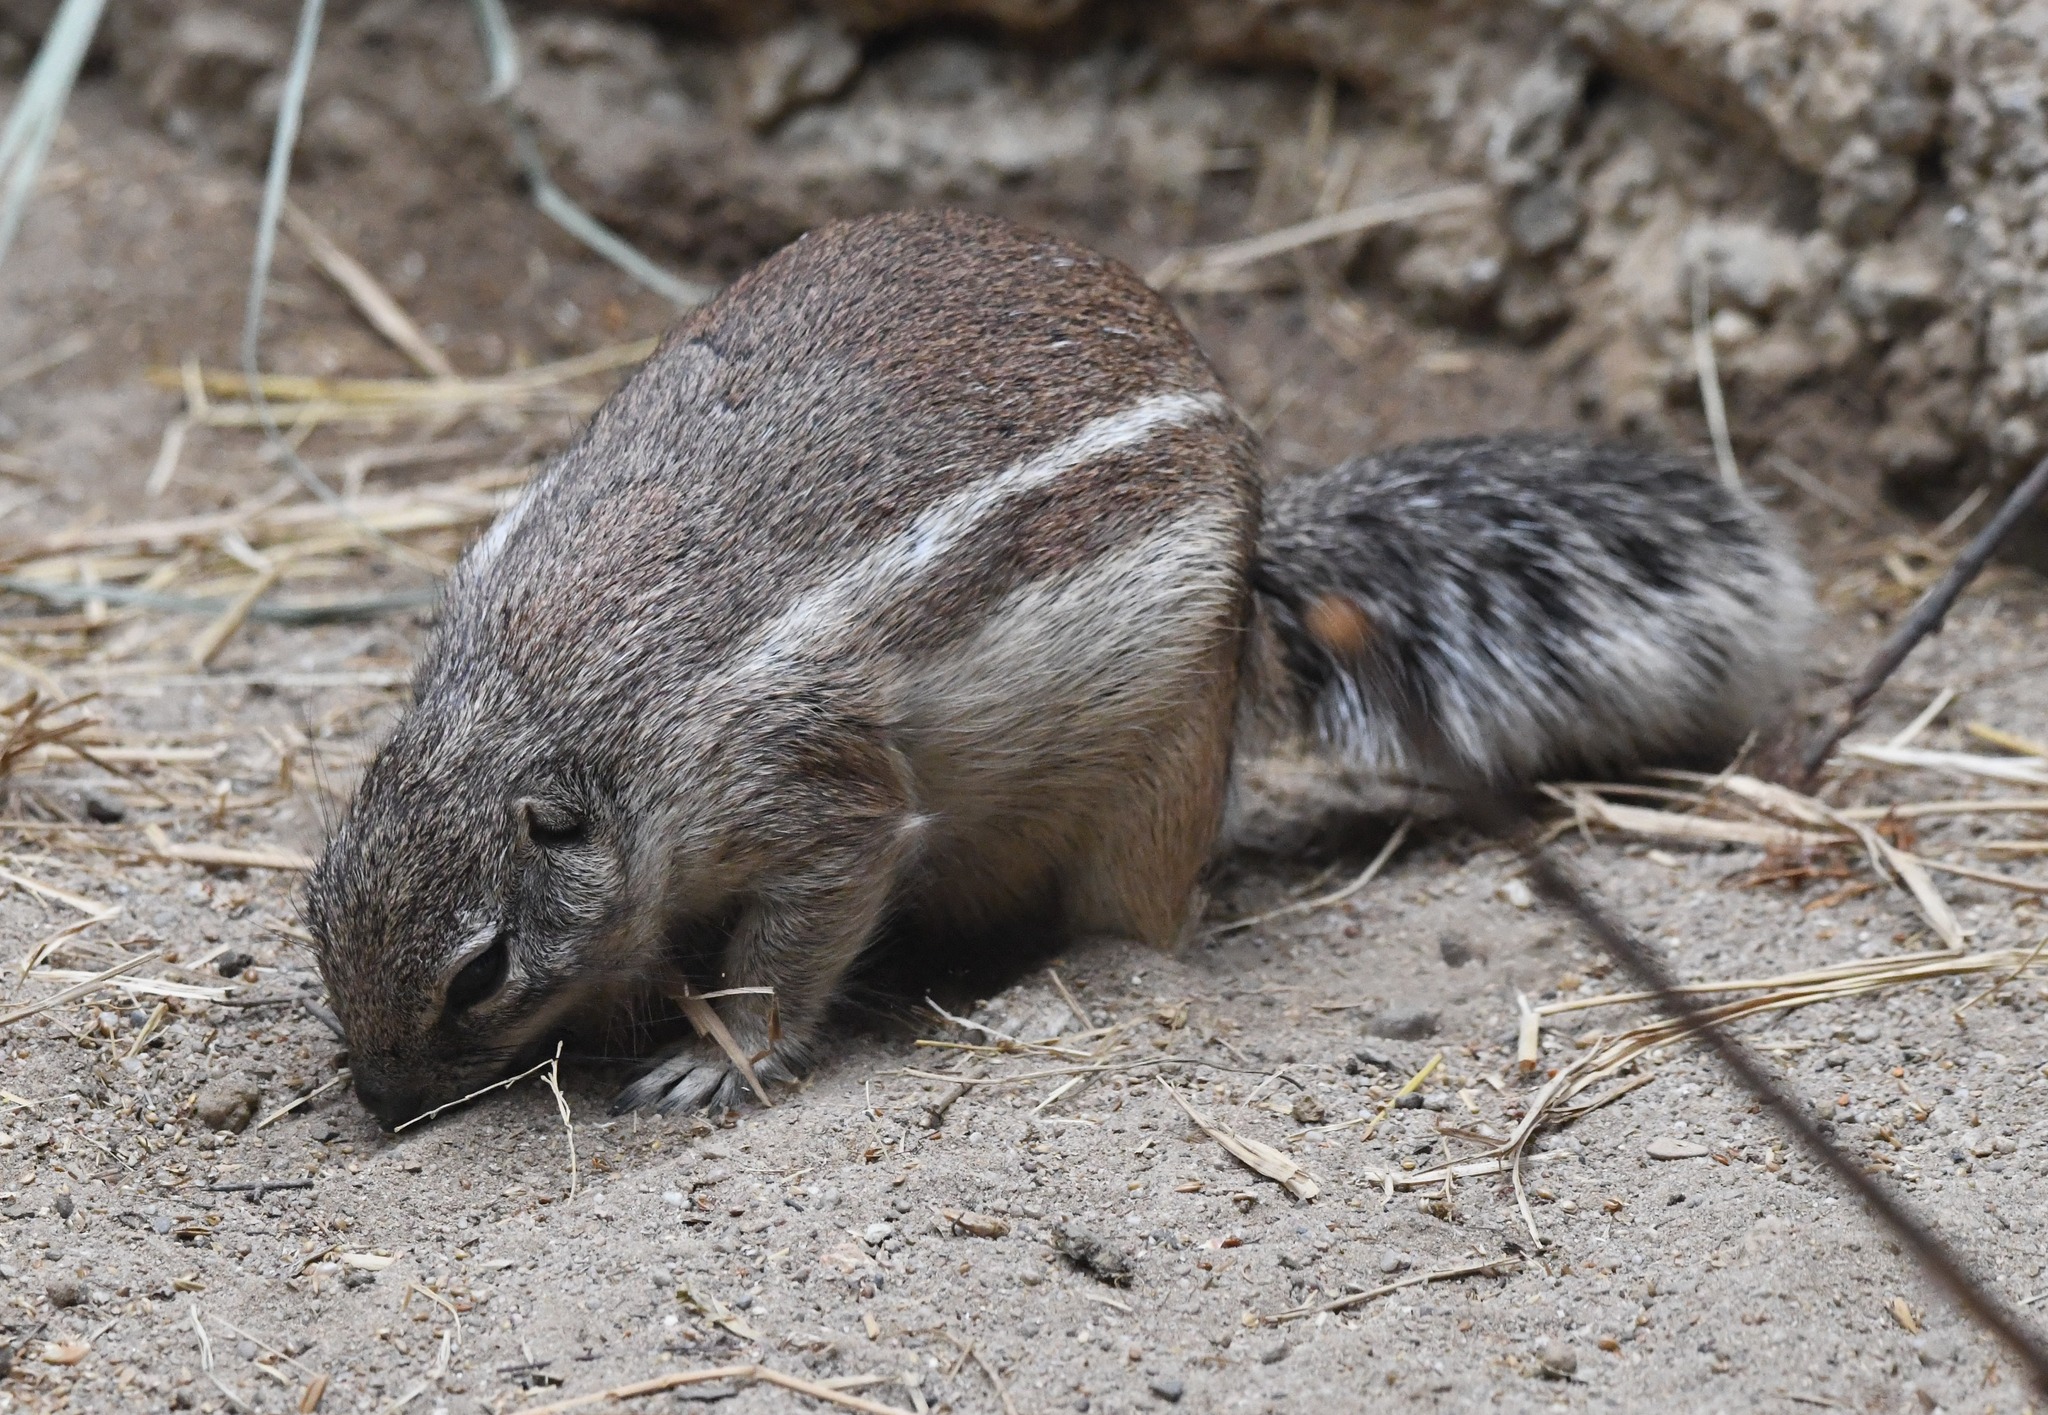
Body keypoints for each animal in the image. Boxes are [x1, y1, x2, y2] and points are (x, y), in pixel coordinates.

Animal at [305, 209, 1813, 1128]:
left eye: (481, 969)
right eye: (313, 905)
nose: (378, 1093)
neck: (555, 701)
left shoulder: (813, 793)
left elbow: (789, 947)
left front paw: (706, 1058)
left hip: (1158, 771)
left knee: (1142, 921)